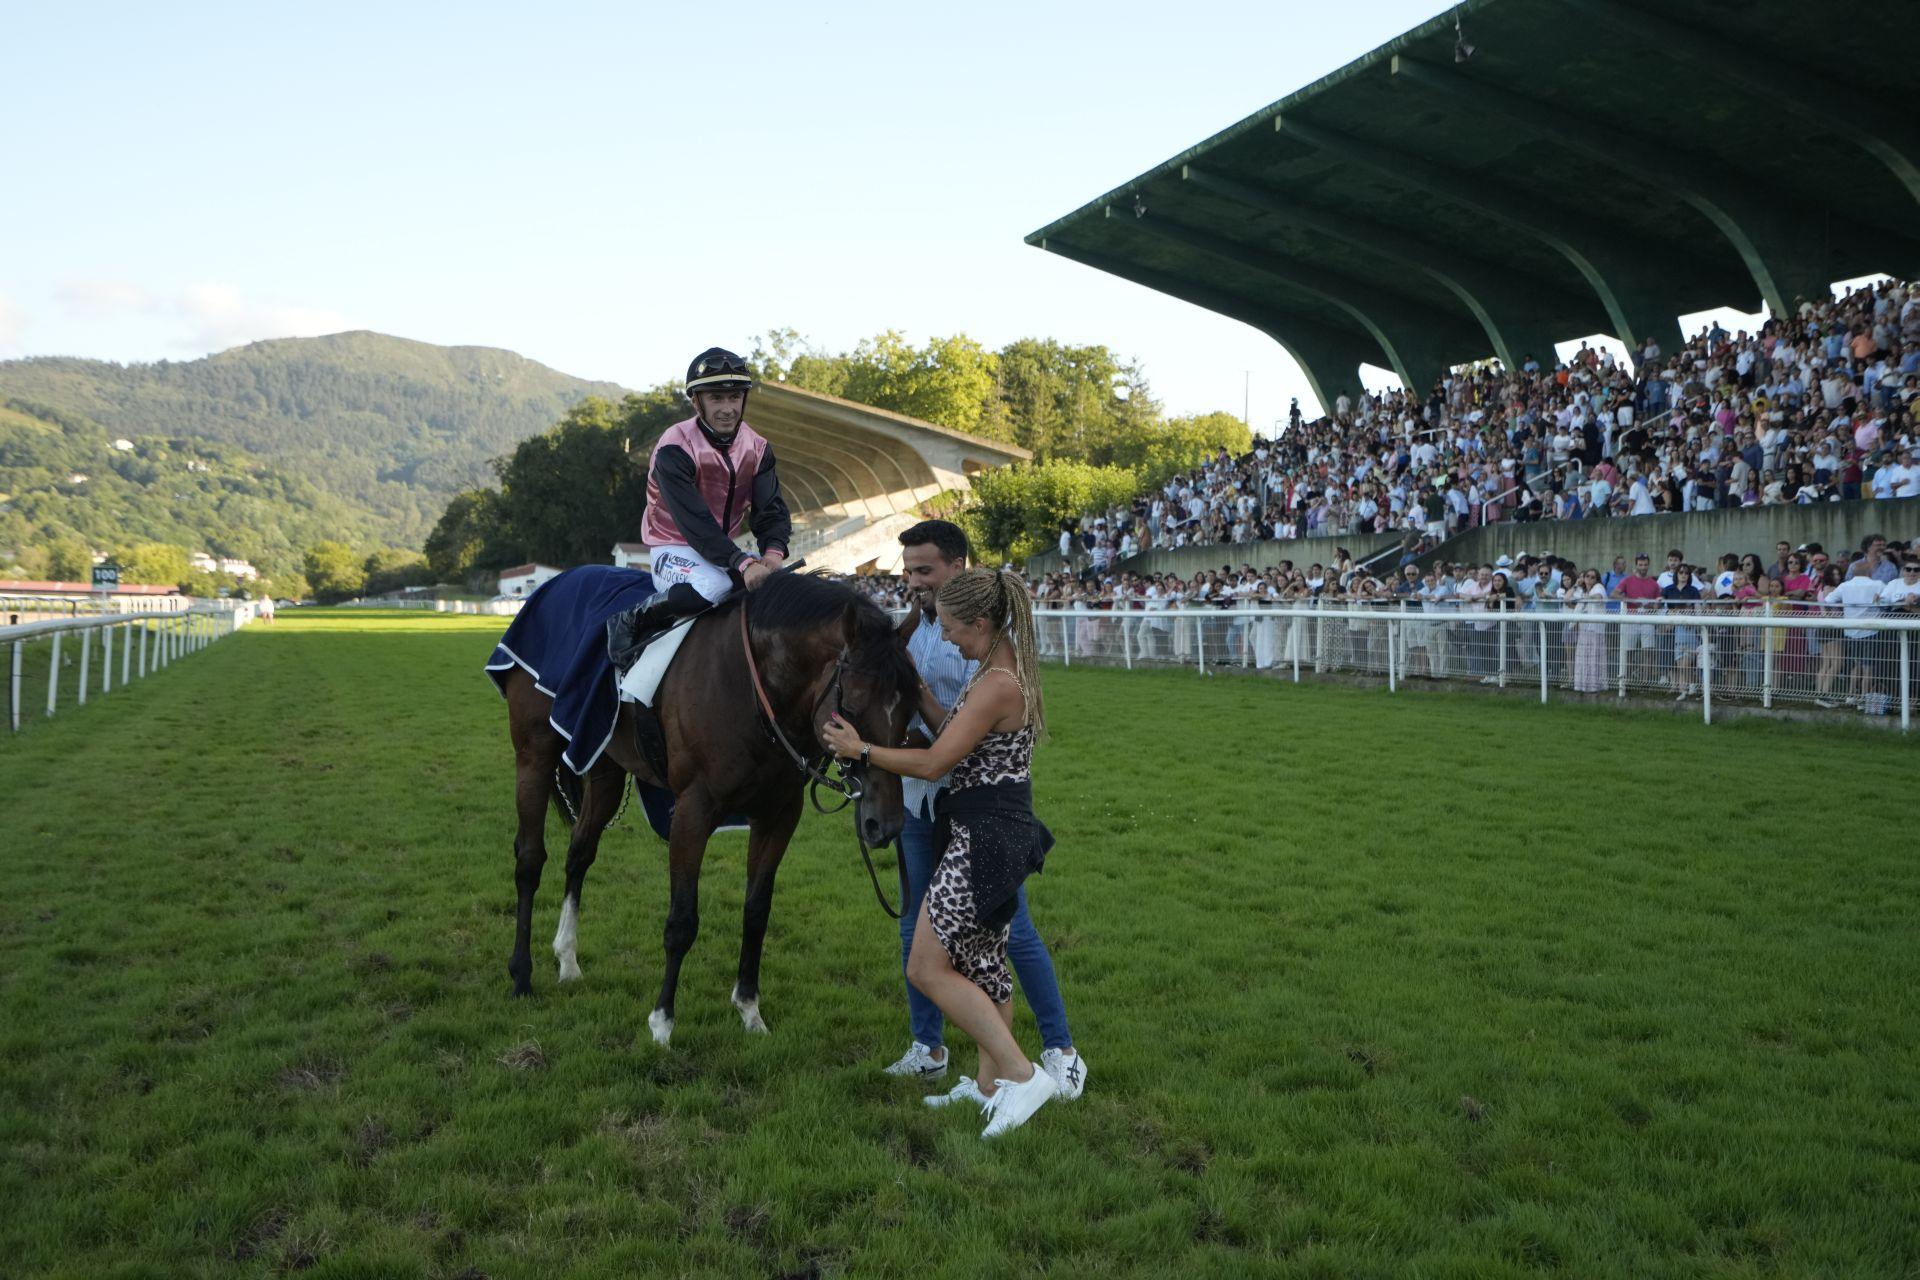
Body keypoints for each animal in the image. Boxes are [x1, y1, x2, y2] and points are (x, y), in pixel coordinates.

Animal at [495, 575, 913, 1043]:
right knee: (530, 860)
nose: (885, 824)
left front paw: (749, 1009)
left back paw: (567, 957)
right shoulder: (693, 812)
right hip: (534, 754)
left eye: (911, 710)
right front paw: (662, 1023)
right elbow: (682, 920)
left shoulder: (779, 814)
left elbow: (757, 911)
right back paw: (521, 974)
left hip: (603, 763)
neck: (755, 688)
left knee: (579, 852)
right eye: (852, 709)